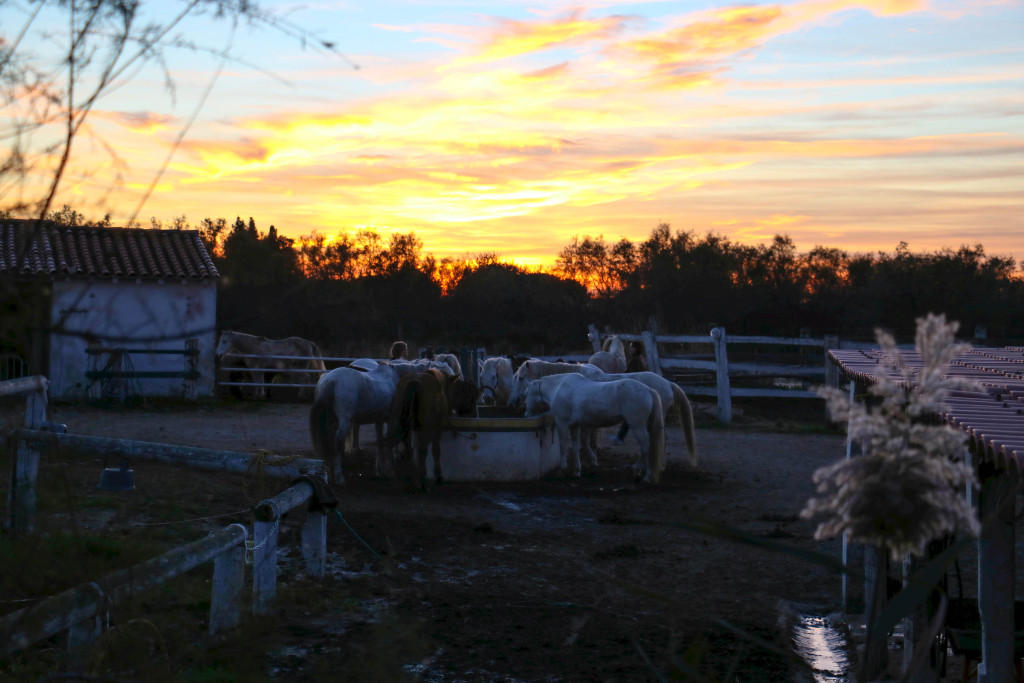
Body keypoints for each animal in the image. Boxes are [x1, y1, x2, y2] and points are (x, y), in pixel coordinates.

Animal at [524, 374, 667, 481]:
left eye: (526, 395)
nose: (525, 415)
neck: (559, 388)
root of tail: (648, 390)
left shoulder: (562, 423)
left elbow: (563, 446)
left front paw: (562, 470)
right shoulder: (574, 425)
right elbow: (575, 447)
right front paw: (576, 471)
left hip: (637, 427)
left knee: (645, 446)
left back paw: (640, 473)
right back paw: (646, 474)